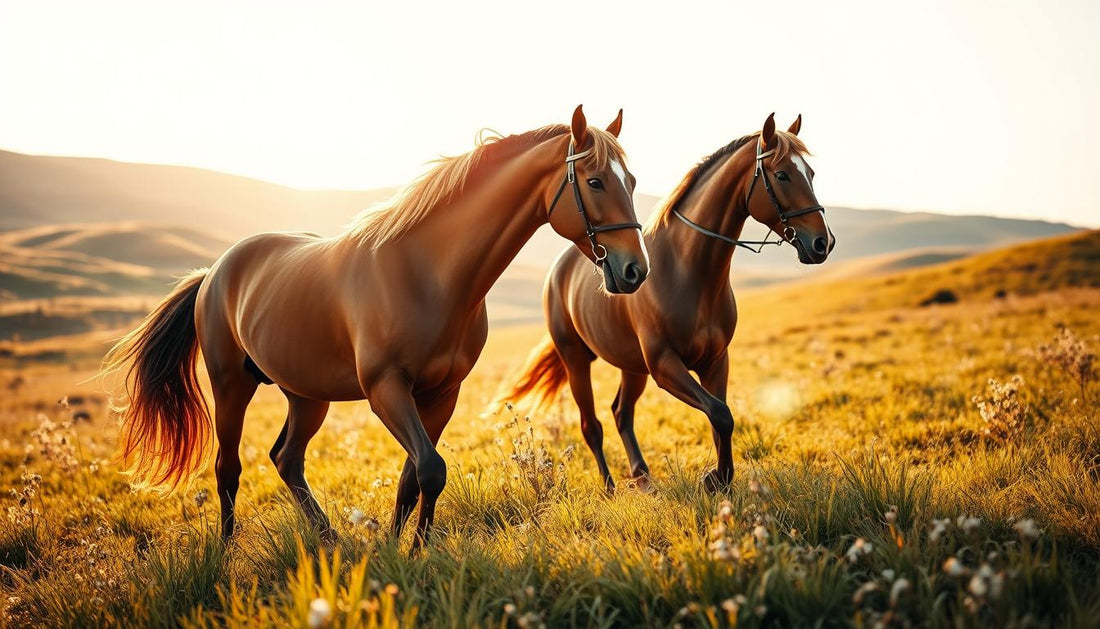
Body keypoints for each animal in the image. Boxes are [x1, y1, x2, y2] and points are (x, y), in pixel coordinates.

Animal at [102, 105, 650, 546]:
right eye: (596, 181)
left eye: (632, 182)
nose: (634, 271)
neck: (428, 273)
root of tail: (214, 272)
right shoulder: (386, 388)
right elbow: (430, 468)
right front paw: (408, 551)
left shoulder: (441, 393)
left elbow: (416, 476)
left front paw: (405, 551)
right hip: (231, 385)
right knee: (228, 467)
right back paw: (226, 550)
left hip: (307, 395)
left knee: (287, 459)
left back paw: (329, 540)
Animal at [503, 113, 834, 493]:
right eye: (782, 175)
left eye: (811, 173)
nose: (824, 243)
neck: (688, 272)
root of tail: (559, 268)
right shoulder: (665, 366)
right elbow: (720, 414)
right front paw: (714, 479)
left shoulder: (715, 362)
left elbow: (720, 420)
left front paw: (720, 480)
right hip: (576, 360)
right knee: (592, 425)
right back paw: (610, 487)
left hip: (632, 367)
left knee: (621, 412)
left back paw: (642, 475)